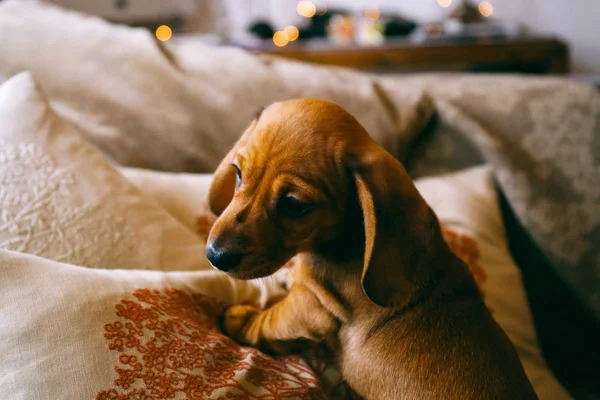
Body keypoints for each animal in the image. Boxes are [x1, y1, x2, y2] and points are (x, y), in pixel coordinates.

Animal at [206, 97, 540, 400]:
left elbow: (269, 321)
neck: (347, 240)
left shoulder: (308, 306)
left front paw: (243, 320)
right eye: (238, 173)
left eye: (294, 205)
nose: (214, 256)